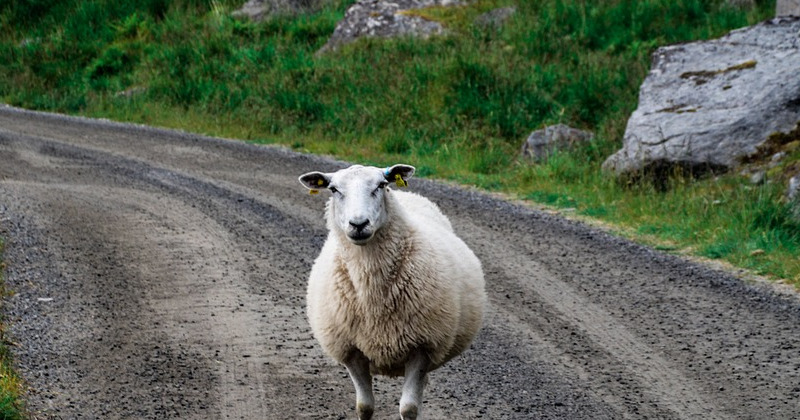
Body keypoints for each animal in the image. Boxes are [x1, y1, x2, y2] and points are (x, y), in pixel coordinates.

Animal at [298, 164, 486, 420]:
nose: (359, 224)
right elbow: (364, 406)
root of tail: (408, 195)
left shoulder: (422, 347)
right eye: (334, 189)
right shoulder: (351, 351)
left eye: (380, 185)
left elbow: (409, 408)